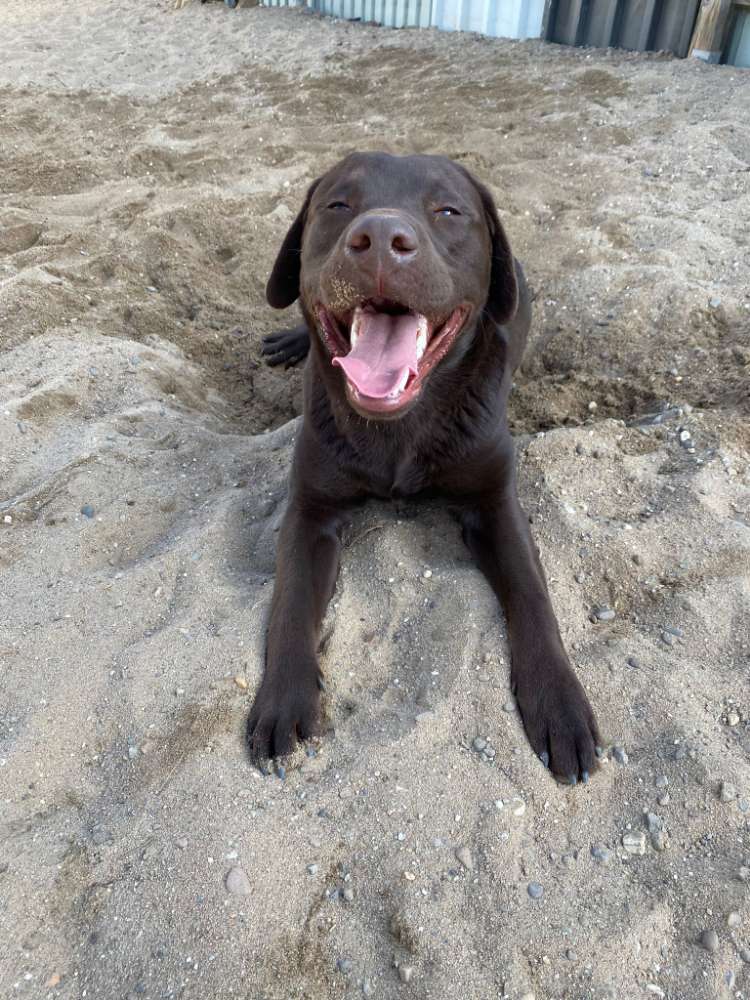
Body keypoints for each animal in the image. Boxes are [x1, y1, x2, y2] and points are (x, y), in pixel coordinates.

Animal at [250, 152, 604, 784]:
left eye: (448, 211)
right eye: (338, 204)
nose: (380, 240)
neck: (401, 426)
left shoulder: (495, 502)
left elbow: (533, 594)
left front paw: (561, 703)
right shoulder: (310, 508)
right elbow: (290, 598)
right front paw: (284, 697)